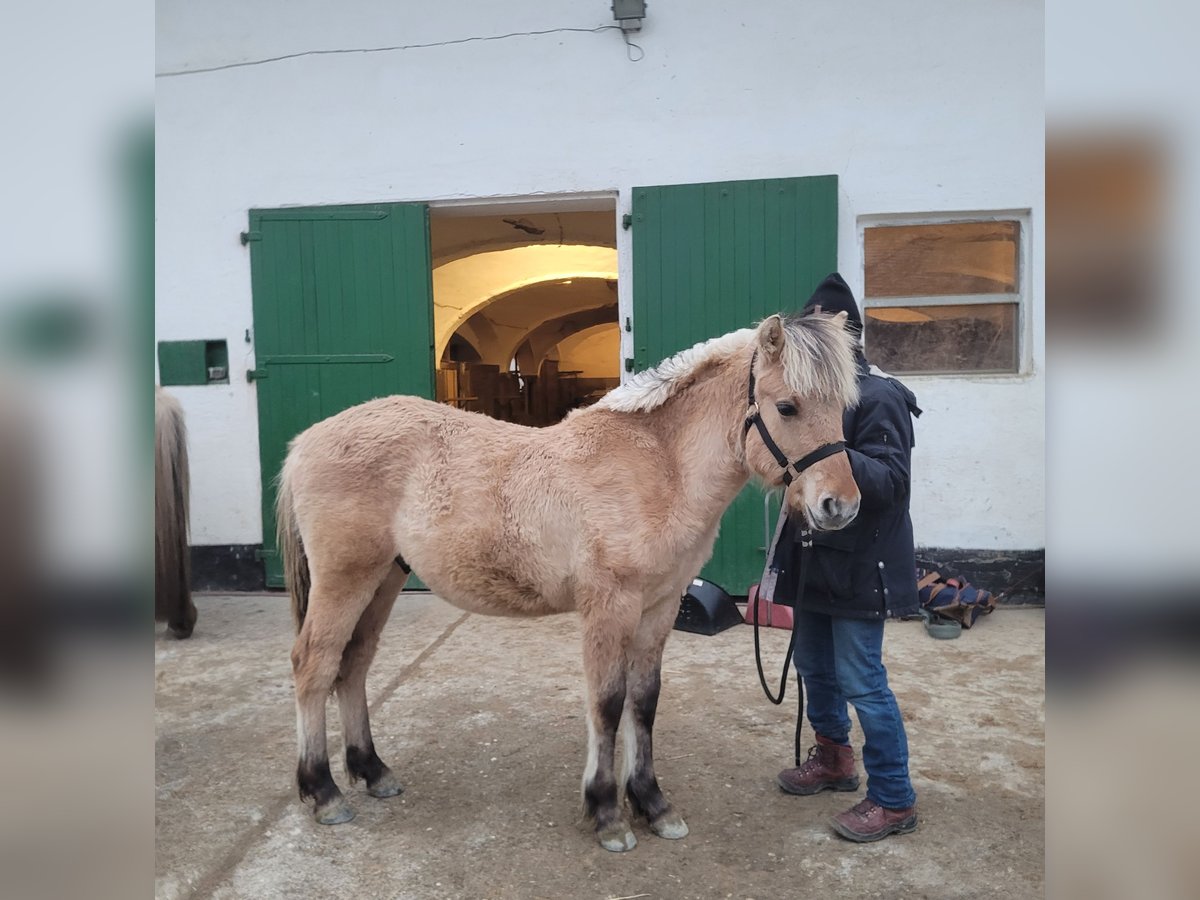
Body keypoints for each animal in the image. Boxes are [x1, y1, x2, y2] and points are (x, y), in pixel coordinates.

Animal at [278, 312, 864, 854]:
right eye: (786, 407)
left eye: (844, 409)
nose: (840, 506)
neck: (658, 466)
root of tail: (306, 440)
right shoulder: (610, 607)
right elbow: (607, 703)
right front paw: (606, 813)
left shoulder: (659, 607)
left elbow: (644, 702)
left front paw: (652, 804)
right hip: (346, 578)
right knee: (315, 664)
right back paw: (323, 792)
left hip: (383, 580)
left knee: (353, 665)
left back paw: (372, 771)